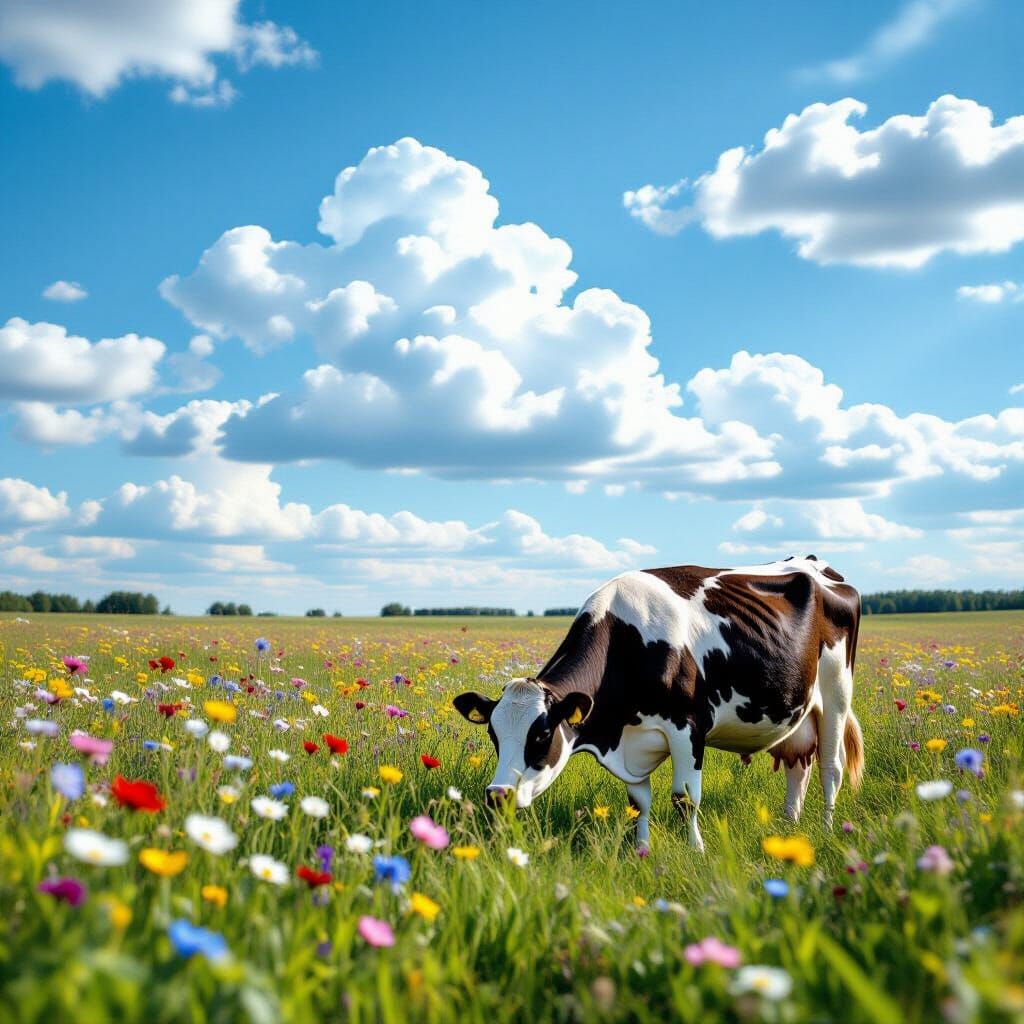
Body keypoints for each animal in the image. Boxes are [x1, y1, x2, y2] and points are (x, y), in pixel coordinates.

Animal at [454, 556, 863, 853]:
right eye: (493, 735)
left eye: (541, 735)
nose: (497, 795)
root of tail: (814, 563)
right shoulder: (632, 742)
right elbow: (638, 801)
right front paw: (642, 850)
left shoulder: (688, 728)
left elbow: (685, 799)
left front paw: (696, 851)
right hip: (797, 709)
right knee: (798, 765)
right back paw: (789, 827)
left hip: (837, 692)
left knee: (830, 767)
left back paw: (827, 830)